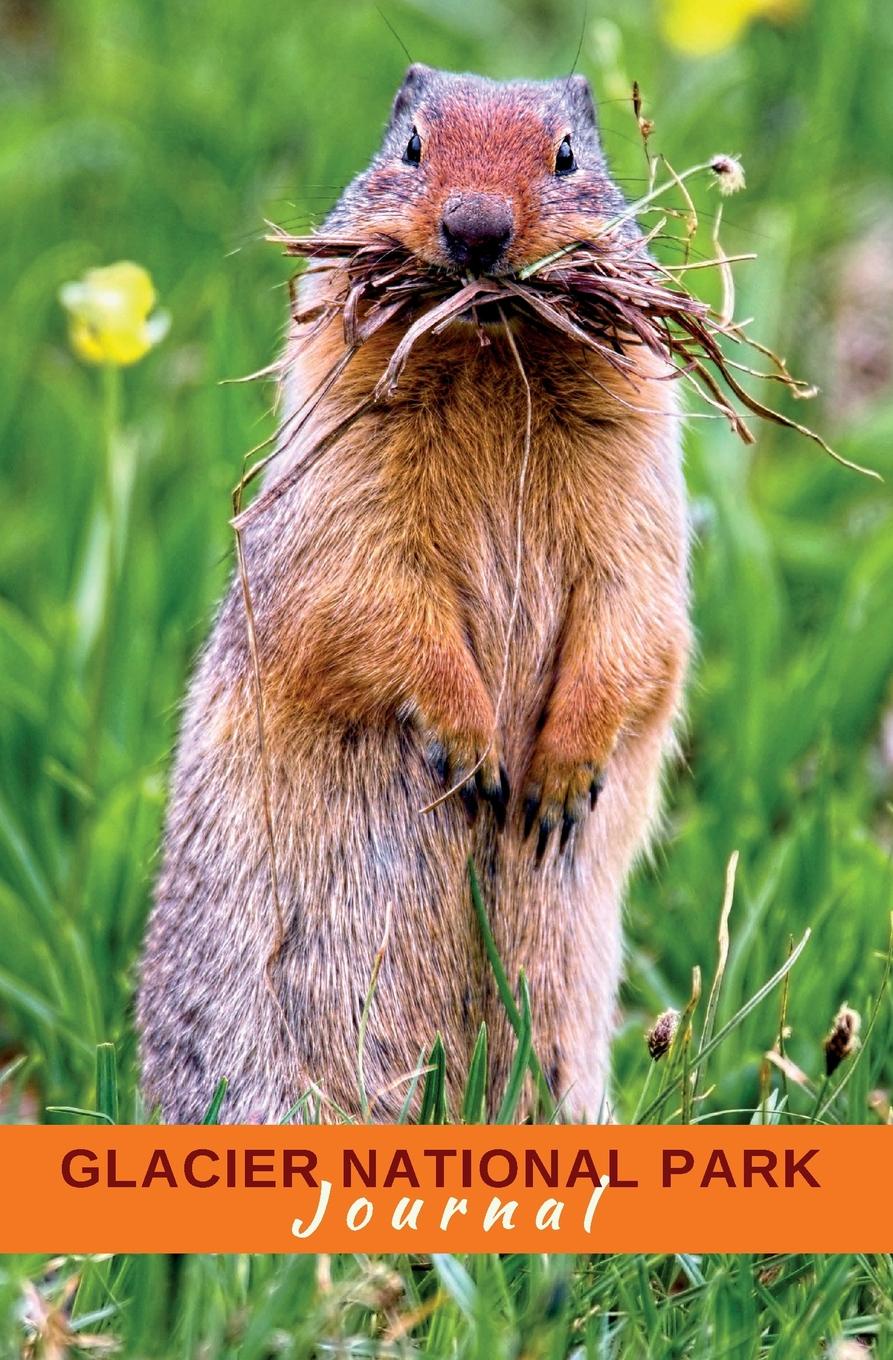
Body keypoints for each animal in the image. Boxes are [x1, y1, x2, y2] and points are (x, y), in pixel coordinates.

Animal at [137, 63, 690, 1120]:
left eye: (567, 154)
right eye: (411, 146)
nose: (476, 229)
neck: (492, 358)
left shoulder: (640, 478)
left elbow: (636, 608)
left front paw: (558, 780)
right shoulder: (344, 478)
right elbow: (371, 592)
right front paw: (472, 752)